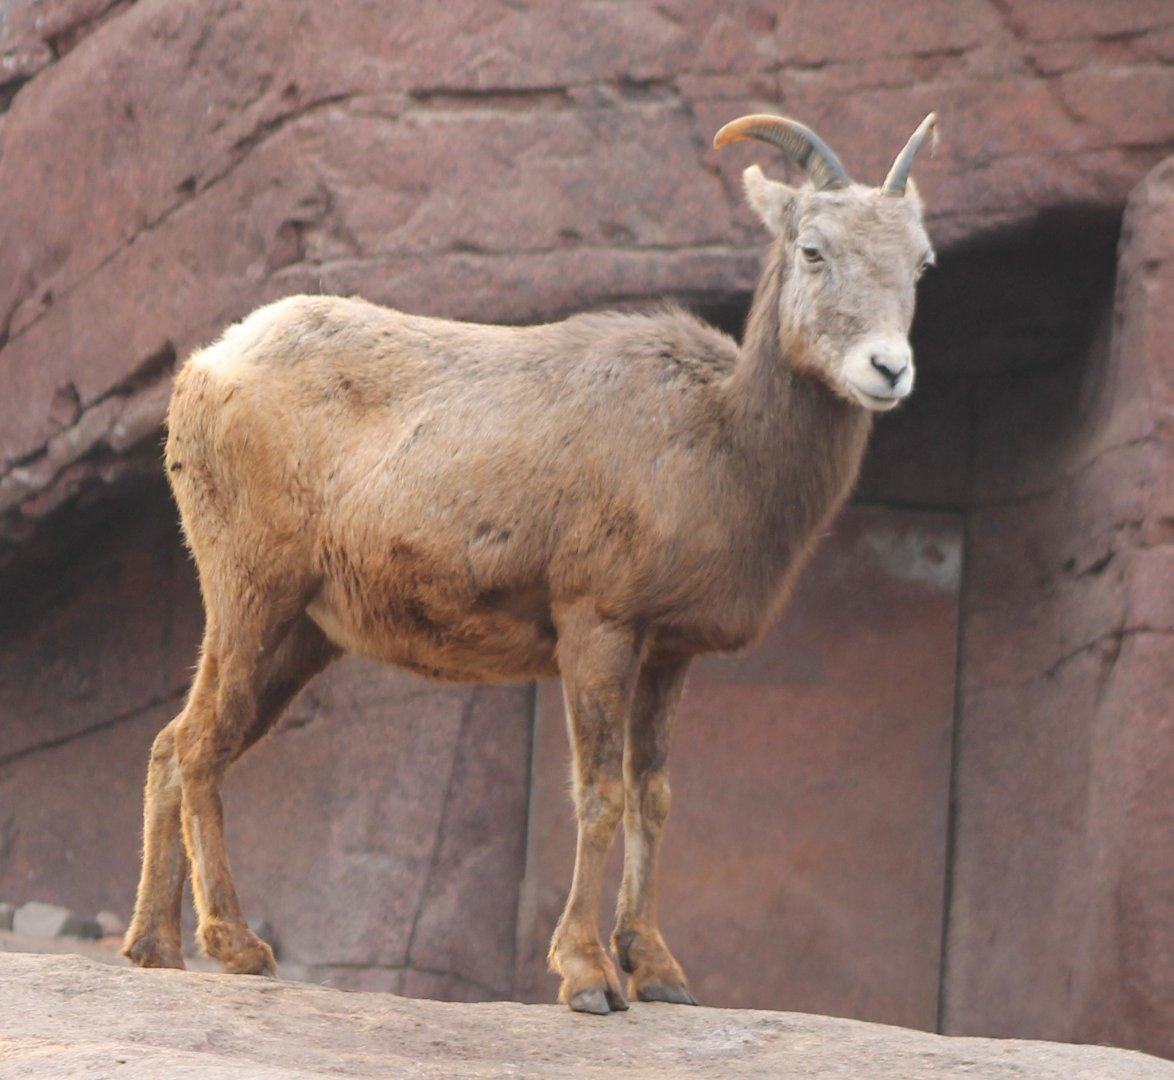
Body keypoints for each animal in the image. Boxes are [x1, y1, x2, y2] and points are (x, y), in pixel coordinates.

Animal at [123, 112, 937, 1014]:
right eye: (814, 250)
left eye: (920, 261)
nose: (888, 369)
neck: (719, 438)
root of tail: (209, 365)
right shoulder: (597, 630)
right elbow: (599, 796)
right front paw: (588, 978)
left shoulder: (668, 655)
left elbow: (652, 797)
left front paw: (659, 973)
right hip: (252, 594)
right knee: (200, 745)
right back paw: (238, 948)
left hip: (301, 634)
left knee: (174, 743)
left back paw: (154, 951)